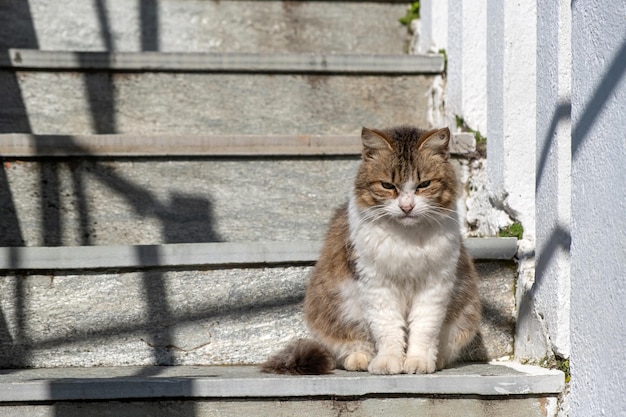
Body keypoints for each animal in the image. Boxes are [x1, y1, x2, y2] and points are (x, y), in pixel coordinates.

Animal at [260, 124, 480, 374]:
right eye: (387, 186)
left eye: (424, 185)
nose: (406, 207)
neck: (406, 240)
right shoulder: (375, 284)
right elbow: (388, 329)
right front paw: (388, 362)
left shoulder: (435, 285)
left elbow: (424, 329)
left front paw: (418, 362)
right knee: (351, 342)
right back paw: (360, 359)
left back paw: (437, 360)